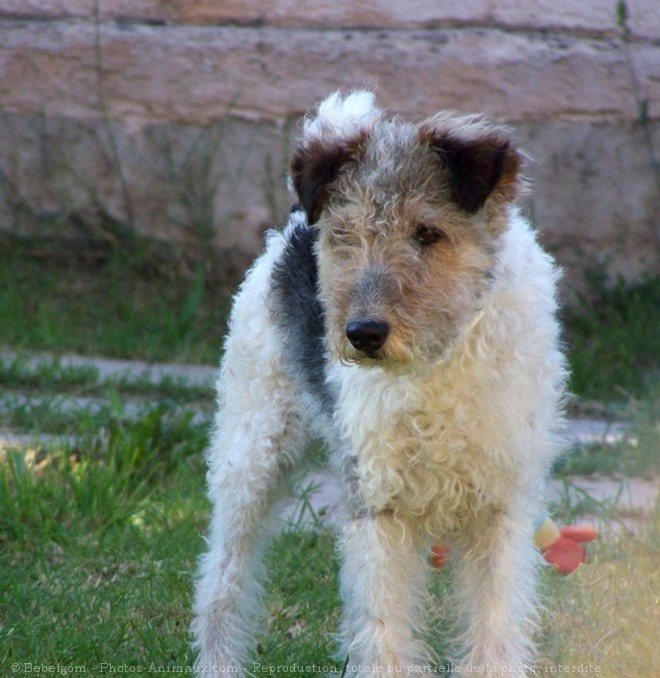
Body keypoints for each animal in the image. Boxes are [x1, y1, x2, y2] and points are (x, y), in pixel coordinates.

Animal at [192, 90, 568, 676]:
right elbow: (384, 629)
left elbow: (494, 629)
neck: (434, 365)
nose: (364, 334)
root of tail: (295, 226)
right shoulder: (380, 506)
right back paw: (219, 662)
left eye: (428, 233)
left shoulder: (499, 508)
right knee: (222, 578)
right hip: (252, 453)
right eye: (346, 235)